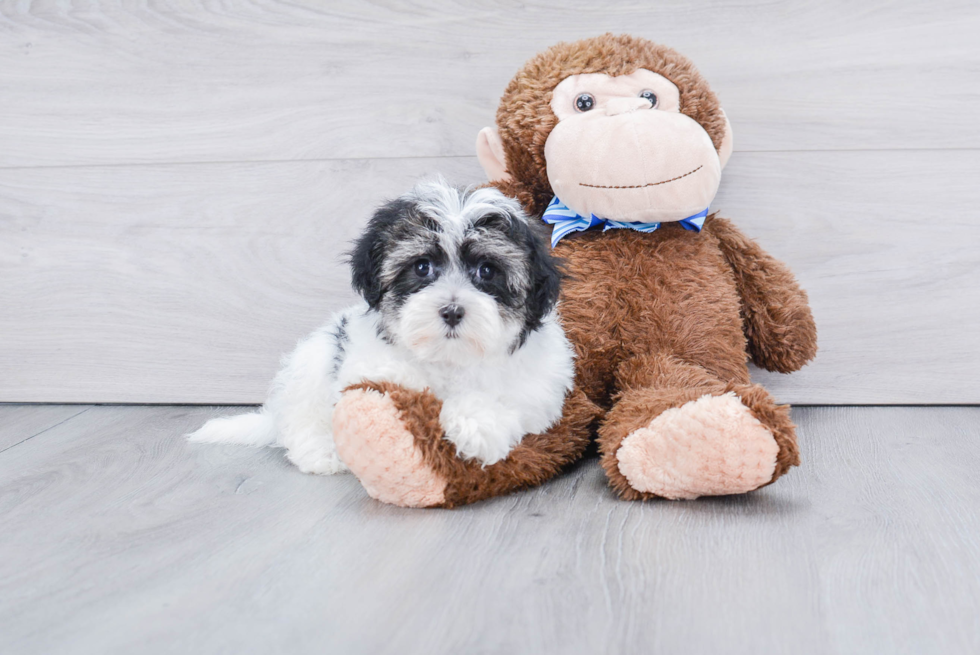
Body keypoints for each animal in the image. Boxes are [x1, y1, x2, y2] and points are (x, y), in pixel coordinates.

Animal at [189, 179, 576, 474]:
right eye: (421, 267)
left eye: (487, 271)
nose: (452, 311)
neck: (450, 358)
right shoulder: (368, 366)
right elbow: (396, 387)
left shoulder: (539, 391)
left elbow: (507, 401)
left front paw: (475, 425)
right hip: (312, 361)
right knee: (303, 418)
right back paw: (322, 452)